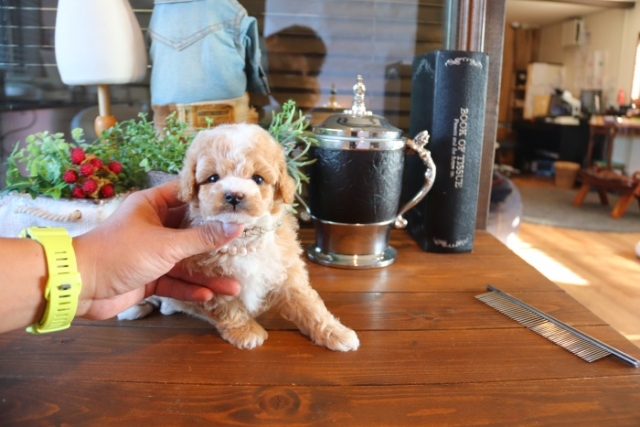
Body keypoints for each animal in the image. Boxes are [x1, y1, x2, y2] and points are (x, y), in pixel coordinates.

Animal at [118, 123, 359, 352]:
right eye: (212, 178)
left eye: (258, 179)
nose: (234, 195)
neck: (243, 237)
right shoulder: (212, 282)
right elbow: (228, 309)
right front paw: (246, 332)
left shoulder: (287, 272)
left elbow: (310, 305)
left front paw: (337, 333)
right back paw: (134, 308)